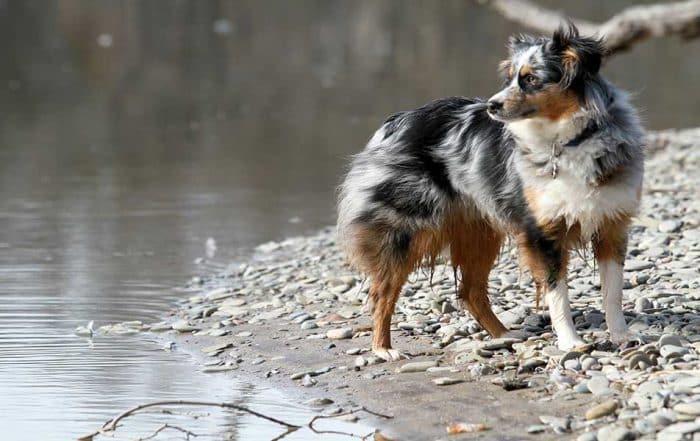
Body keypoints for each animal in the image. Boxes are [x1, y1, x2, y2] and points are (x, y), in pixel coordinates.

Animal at [336, 24, 644, 360]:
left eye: (531, 79)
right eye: (508, 78)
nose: (491, 105)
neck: (568, 141)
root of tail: (396, 122)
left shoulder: (611, 224)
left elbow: (613, 292)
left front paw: (621, 335)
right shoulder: (543, 232)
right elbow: (557, 294)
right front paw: (570, 342)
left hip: (479, 231)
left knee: (470, 290)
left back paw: (505, 334)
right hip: (405, 229)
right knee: (383, 292)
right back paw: (383, 348)